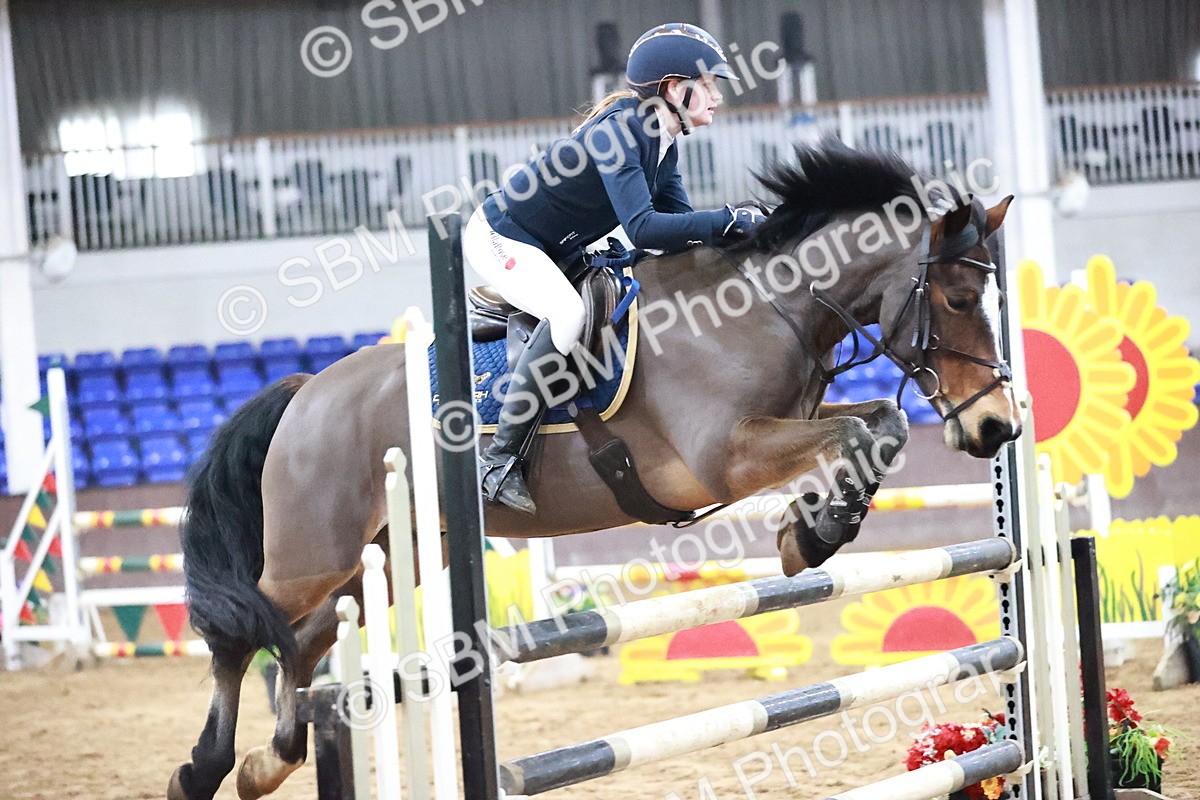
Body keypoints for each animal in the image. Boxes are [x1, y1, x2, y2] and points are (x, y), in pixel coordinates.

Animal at [168, 143, 1021, 800]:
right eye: (954, 298)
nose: (999, 427)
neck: (764, 307)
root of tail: (306, 389)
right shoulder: (723, 457)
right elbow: (857, 429)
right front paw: (811, 533)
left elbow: (880, 425)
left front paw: (811, 532)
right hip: (315, 552)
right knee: (244, 632)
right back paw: (203, 769)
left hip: (395, 552)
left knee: (304, 640)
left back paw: (266, 762)